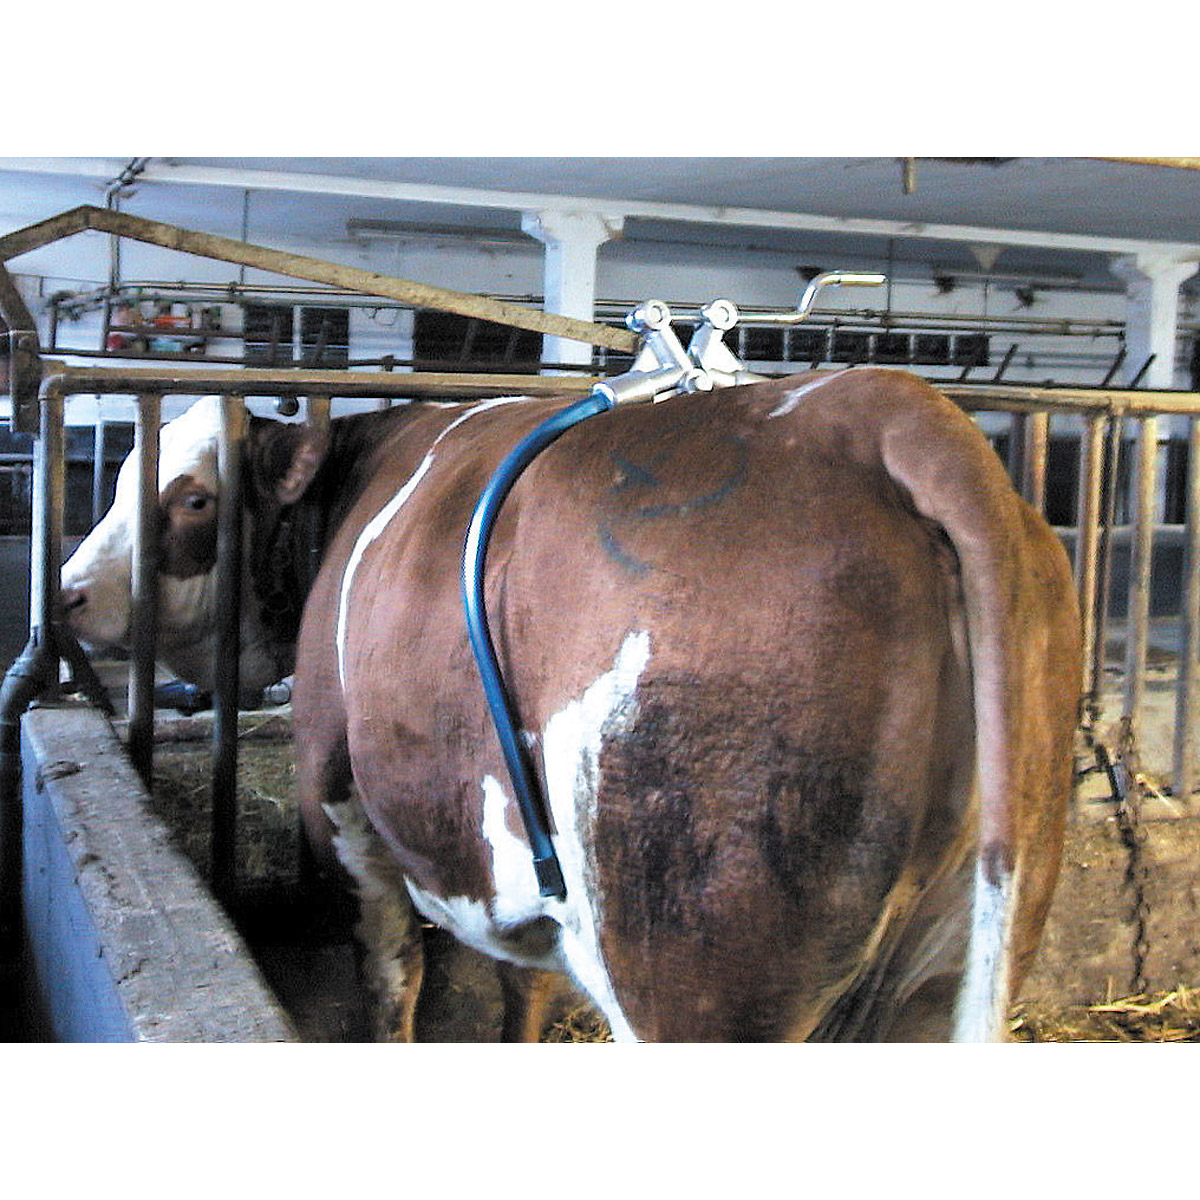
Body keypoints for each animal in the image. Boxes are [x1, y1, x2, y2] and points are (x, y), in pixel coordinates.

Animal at [59, 368, 1082, 1041]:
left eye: (193, 499)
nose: (67, 592)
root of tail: (877, 411)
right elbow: (526, 994)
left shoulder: (342, 806)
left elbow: (390, 981)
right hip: (947, 953)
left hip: (686, 958)